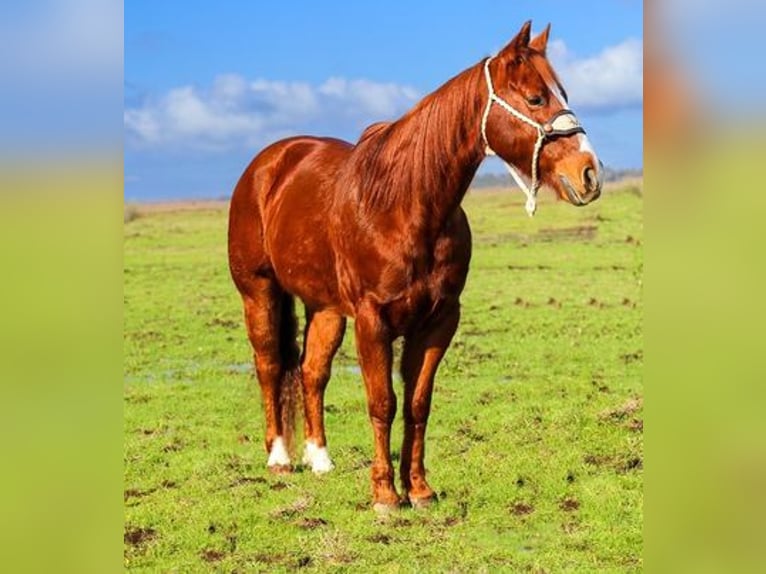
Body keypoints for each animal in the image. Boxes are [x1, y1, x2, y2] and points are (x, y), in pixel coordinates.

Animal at [228, 22, 608, 516]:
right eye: (535, 97)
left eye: (561, 92)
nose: (589, 173)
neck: (405, 203)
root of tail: (270, 163)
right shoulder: (373, 321)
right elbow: (382, 402)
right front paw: (385, 495)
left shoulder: (438, 321)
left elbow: (417, 403)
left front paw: (420, 489)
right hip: (259, 292)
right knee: (270, 364)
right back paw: (278, 457)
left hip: (324, 307)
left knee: (312, 372)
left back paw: (319, 458)